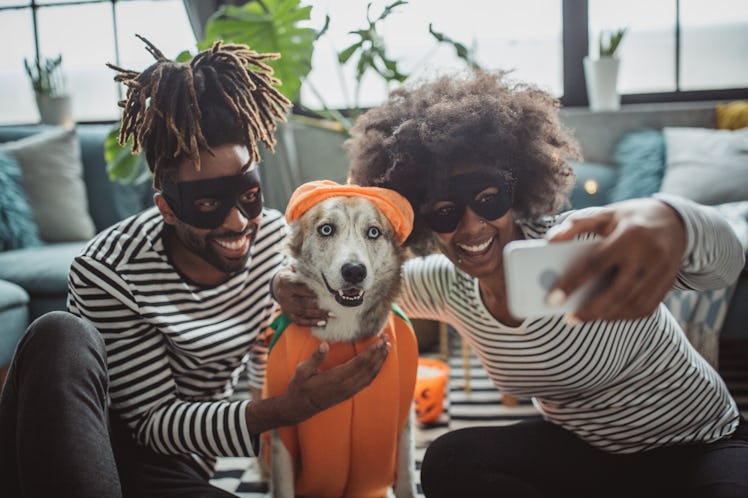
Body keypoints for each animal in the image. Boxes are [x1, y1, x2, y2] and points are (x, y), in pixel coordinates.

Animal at [262, 181, 420, 498]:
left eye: (373, 232)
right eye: (326, 229)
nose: (354, 271)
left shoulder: (404, 427)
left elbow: (408, 482)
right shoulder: (282, 438)